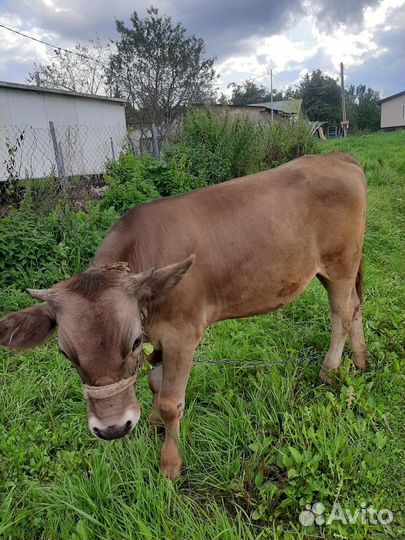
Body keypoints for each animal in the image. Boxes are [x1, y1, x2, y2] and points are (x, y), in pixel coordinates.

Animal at [0, 151, 366, 476]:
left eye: (133, 343)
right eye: (66, 354)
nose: (113, 428)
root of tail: (337, 157)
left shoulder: (182, 334)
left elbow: (170, 402)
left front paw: (169, 465)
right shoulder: (158, 335)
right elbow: (153, 382)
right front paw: (150, 424)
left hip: (340, 264)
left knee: (342, 313)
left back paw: (329, 370)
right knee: (356, 305)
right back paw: (360, 361)